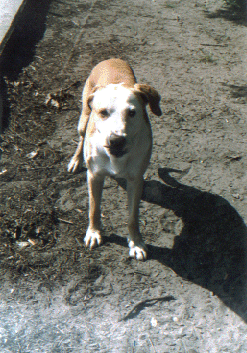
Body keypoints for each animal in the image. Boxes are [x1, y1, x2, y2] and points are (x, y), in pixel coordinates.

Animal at [67, 58, 162, 258]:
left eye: (132, 112)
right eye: (103, 112)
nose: (116, 140)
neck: (116, 158)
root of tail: (111, 59)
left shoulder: (136, 180)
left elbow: (132, 216)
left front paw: (136, 243)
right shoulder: (94, 176)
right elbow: (94, 208)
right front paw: (94, 232)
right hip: (83, 118)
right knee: (81, 137)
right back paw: (75, 160)